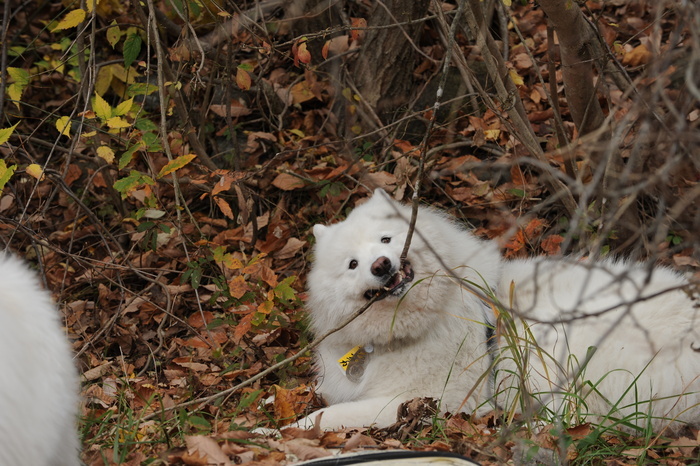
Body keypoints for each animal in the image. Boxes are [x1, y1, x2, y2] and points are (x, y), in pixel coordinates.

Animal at [296, 189, 700, 434]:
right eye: (352, 264)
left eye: (386, 239)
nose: (381, 265)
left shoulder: (427, 397)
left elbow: (328, 414)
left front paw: (284, 431)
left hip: (561, 341)